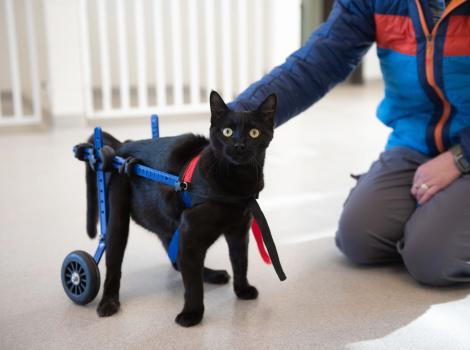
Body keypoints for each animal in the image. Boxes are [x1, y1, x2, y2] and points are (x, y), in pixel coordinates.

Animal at [81, 91, 276, 326]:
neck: (237, 184)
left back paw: (213, 275)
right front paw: (192, 314)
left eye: (254, 133)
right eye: (227, 132)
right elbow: (192, 284)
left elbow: (240, 262)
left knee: (177, 260)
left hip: (168, 223)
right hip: (117, 220)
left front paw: (242, 290)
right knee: (113, 264)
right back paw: (108, 302)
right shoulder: (191, 233)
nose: (239, 145)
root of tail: (121, 147)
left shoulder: (238, 231)